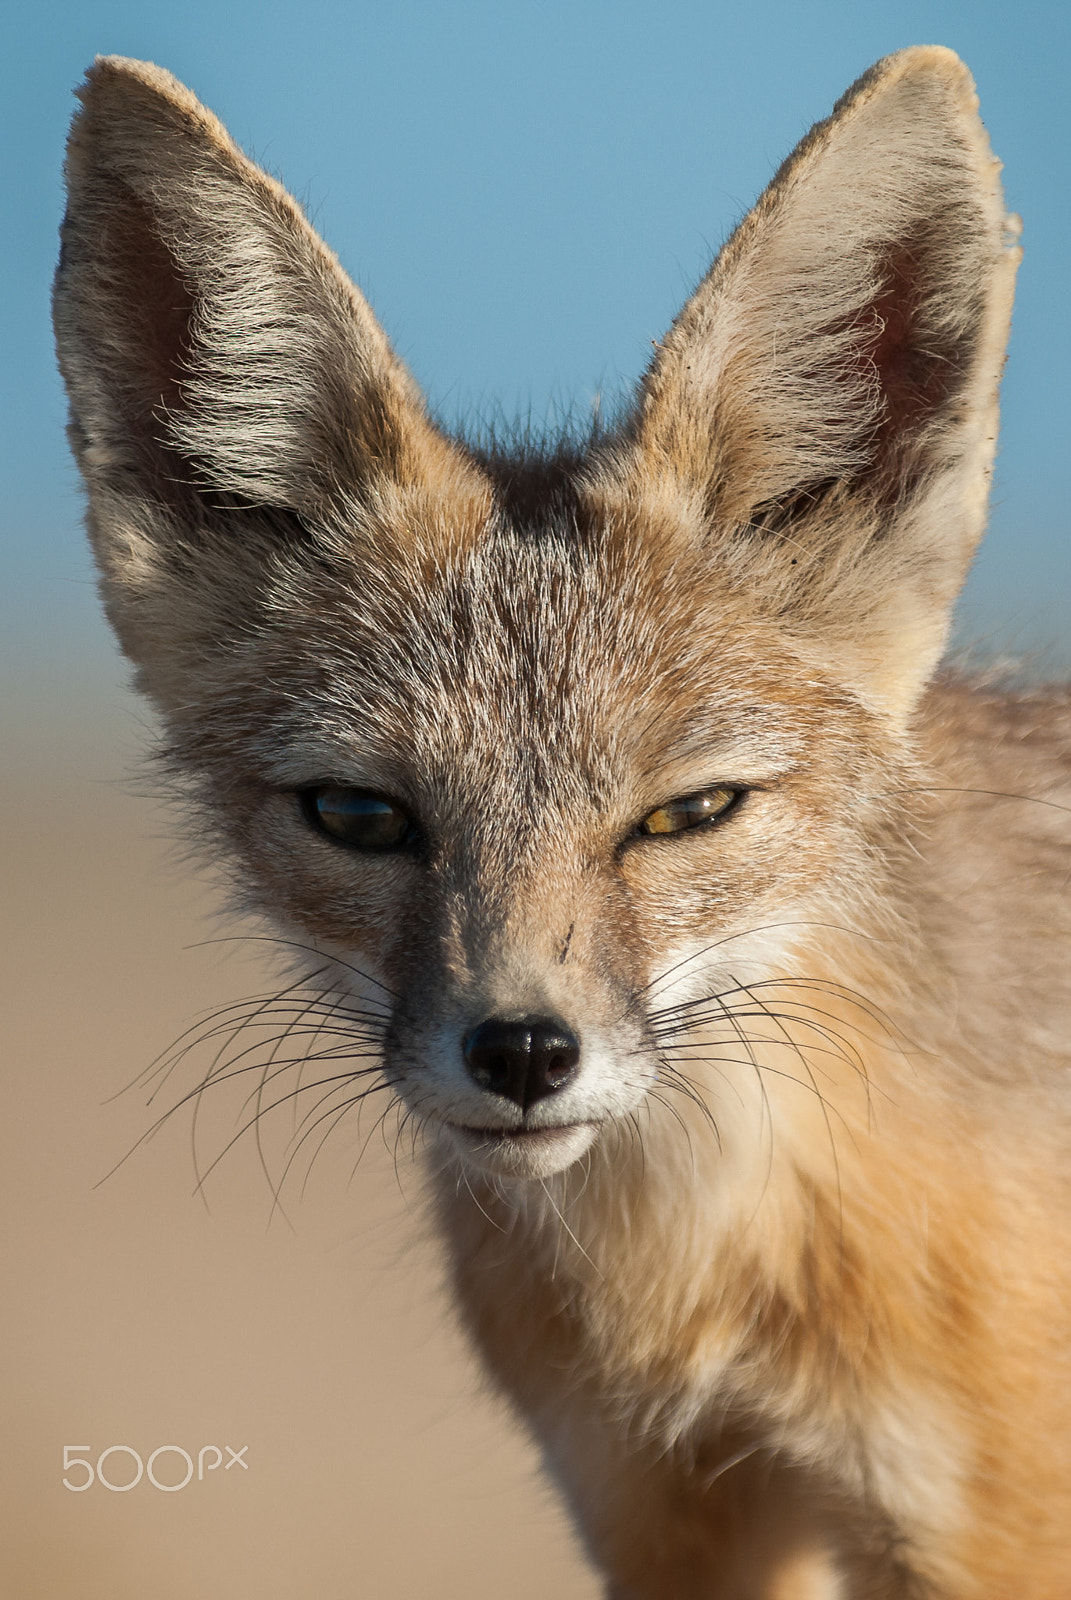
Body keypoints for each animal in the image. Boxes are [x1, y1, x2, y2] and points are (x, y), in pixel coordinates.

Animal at [53, 45, 1071, 1599]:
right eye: (362, 815)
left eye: (689, 813)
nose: (524, 1053)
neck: (700, 1285)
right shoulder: (663, 1518)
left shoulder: (989, 1525)